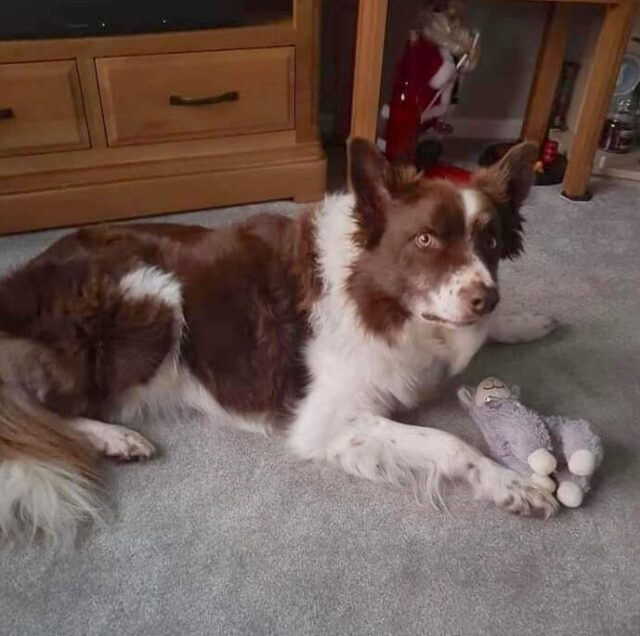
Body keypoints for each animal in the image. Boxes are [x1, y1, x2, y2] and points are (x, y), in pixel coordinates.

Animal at [0, 138, 560, 540]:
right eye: (425, 240)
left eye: (490, 241)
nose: (485, 298)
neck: (380, 299)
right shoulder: (327, 420)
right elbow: (446, 441)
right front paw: (510, 483)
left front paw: (525, 320)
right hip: (155, 294)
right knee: (44, 409)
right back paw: (115, 438)